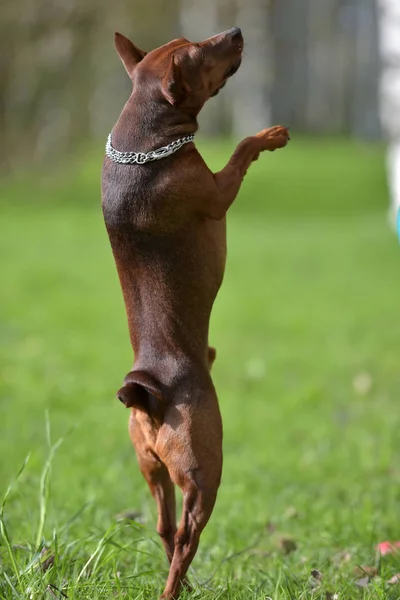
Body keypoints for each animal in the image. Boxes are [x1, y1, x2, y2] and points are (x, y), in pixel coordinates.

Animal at [101, 25, 290, 596]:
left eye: (186, 40)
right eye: (198, 54)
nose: (236, 31)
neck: (142, 140)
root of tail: (150, 396)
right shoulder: (219, 192)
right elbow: (243, 149)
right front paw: (270, 135)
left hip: (152, 468)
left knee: (164, 528)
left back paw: (179, 585)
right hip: (205, 469)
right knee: (187, 535)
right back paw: (174, 588)